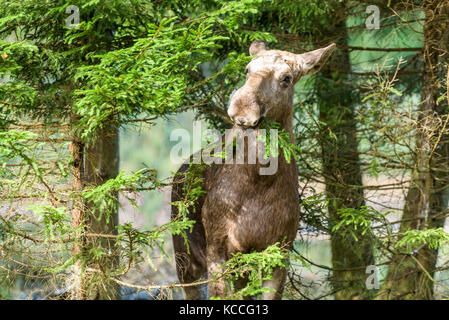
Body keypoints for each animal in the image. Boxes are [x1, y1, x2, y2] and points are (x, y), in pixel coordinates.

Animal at [170, 40, 334, 300]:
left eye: (287, 78)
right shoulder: (217, 245)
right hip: (185, 258)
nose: (242, 109)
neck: (260, 182)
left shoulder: (279, 251)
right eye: (247, 69)